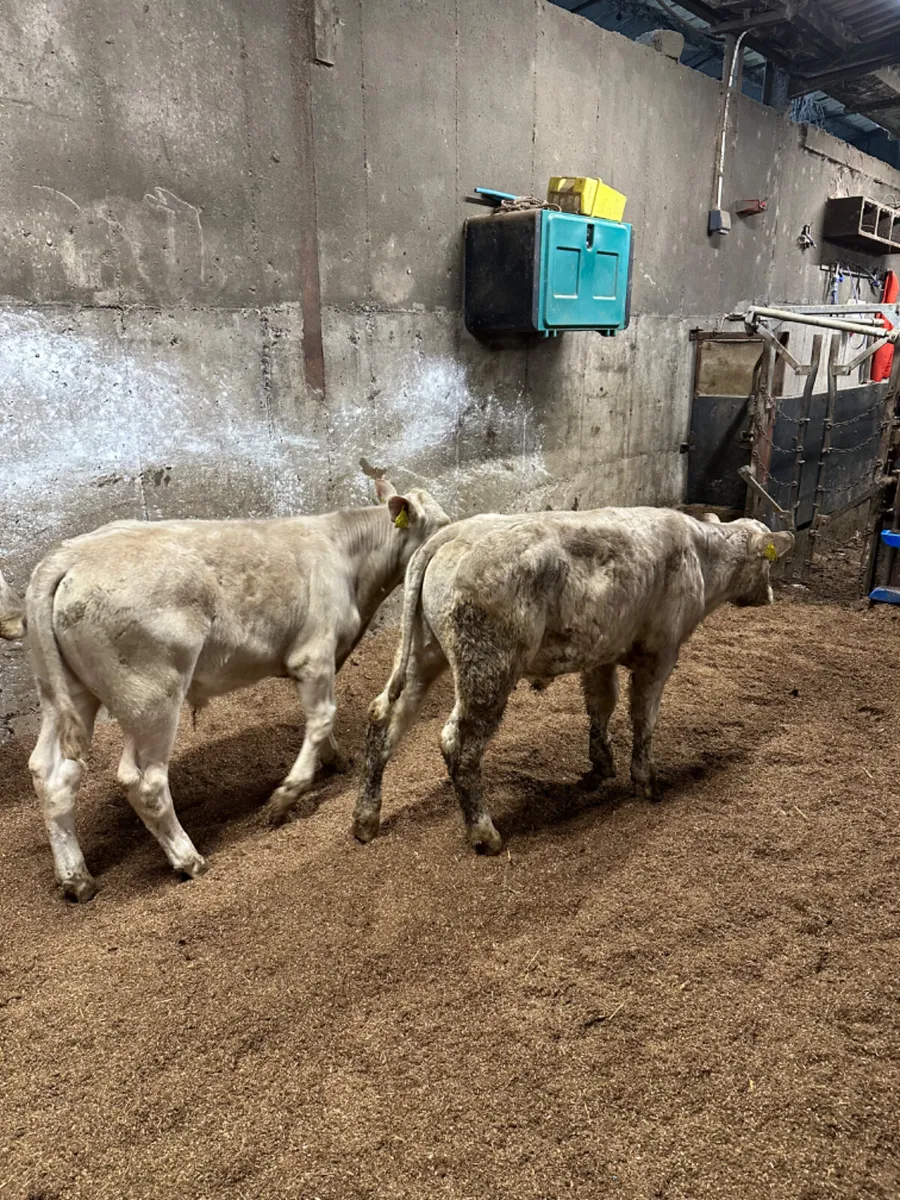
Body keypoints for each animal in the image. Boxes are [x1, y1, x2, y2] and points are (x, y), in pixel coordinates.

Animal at [25, 477, 450, 900]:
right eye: (442, 526)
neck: (349, 559)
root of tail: (69, 555)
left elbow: (321, 718)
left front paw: (335, 759)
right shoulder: (313, 654)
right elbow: (323, 716)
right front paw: (286, 796)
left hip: (67, 693)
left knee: (51, 772)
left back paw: (77, 879)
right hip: (151, 696)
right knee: (144, 781)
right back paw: (189, 859)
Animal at [353, 508, 793, 854]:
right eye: (769, 562)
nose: (771, 596)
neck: (700, 555)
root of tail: (451, 534)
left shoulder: (602, 653)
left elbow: (601, 705)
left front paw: (601, 764)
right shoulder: (660, 653)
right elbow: (643, 716)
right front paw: (646, 781)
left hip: (421, 652)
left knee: (383, 716)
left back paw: (365, 819)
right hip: (487, 668)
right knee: (458, 744)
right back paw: (484, 833)